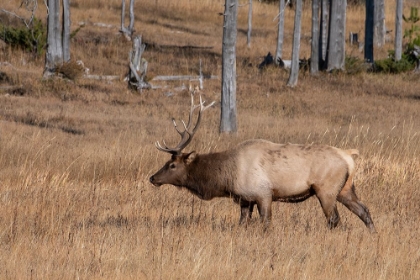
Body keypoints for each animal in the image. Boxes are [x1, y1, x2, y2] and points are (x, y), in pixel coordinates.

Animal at [149, 95, 376, 233]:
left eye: (172, 165)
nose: (152, 178)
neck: (227, 176)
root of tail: (349, 156)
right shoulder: (244, 199)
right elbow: (243, 223)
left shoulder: (263, 194)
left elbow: (266, 223)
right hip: (345, 188)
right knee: (364, 210)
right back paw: (373, 234)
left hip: (326, 189)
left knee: (334, 219)